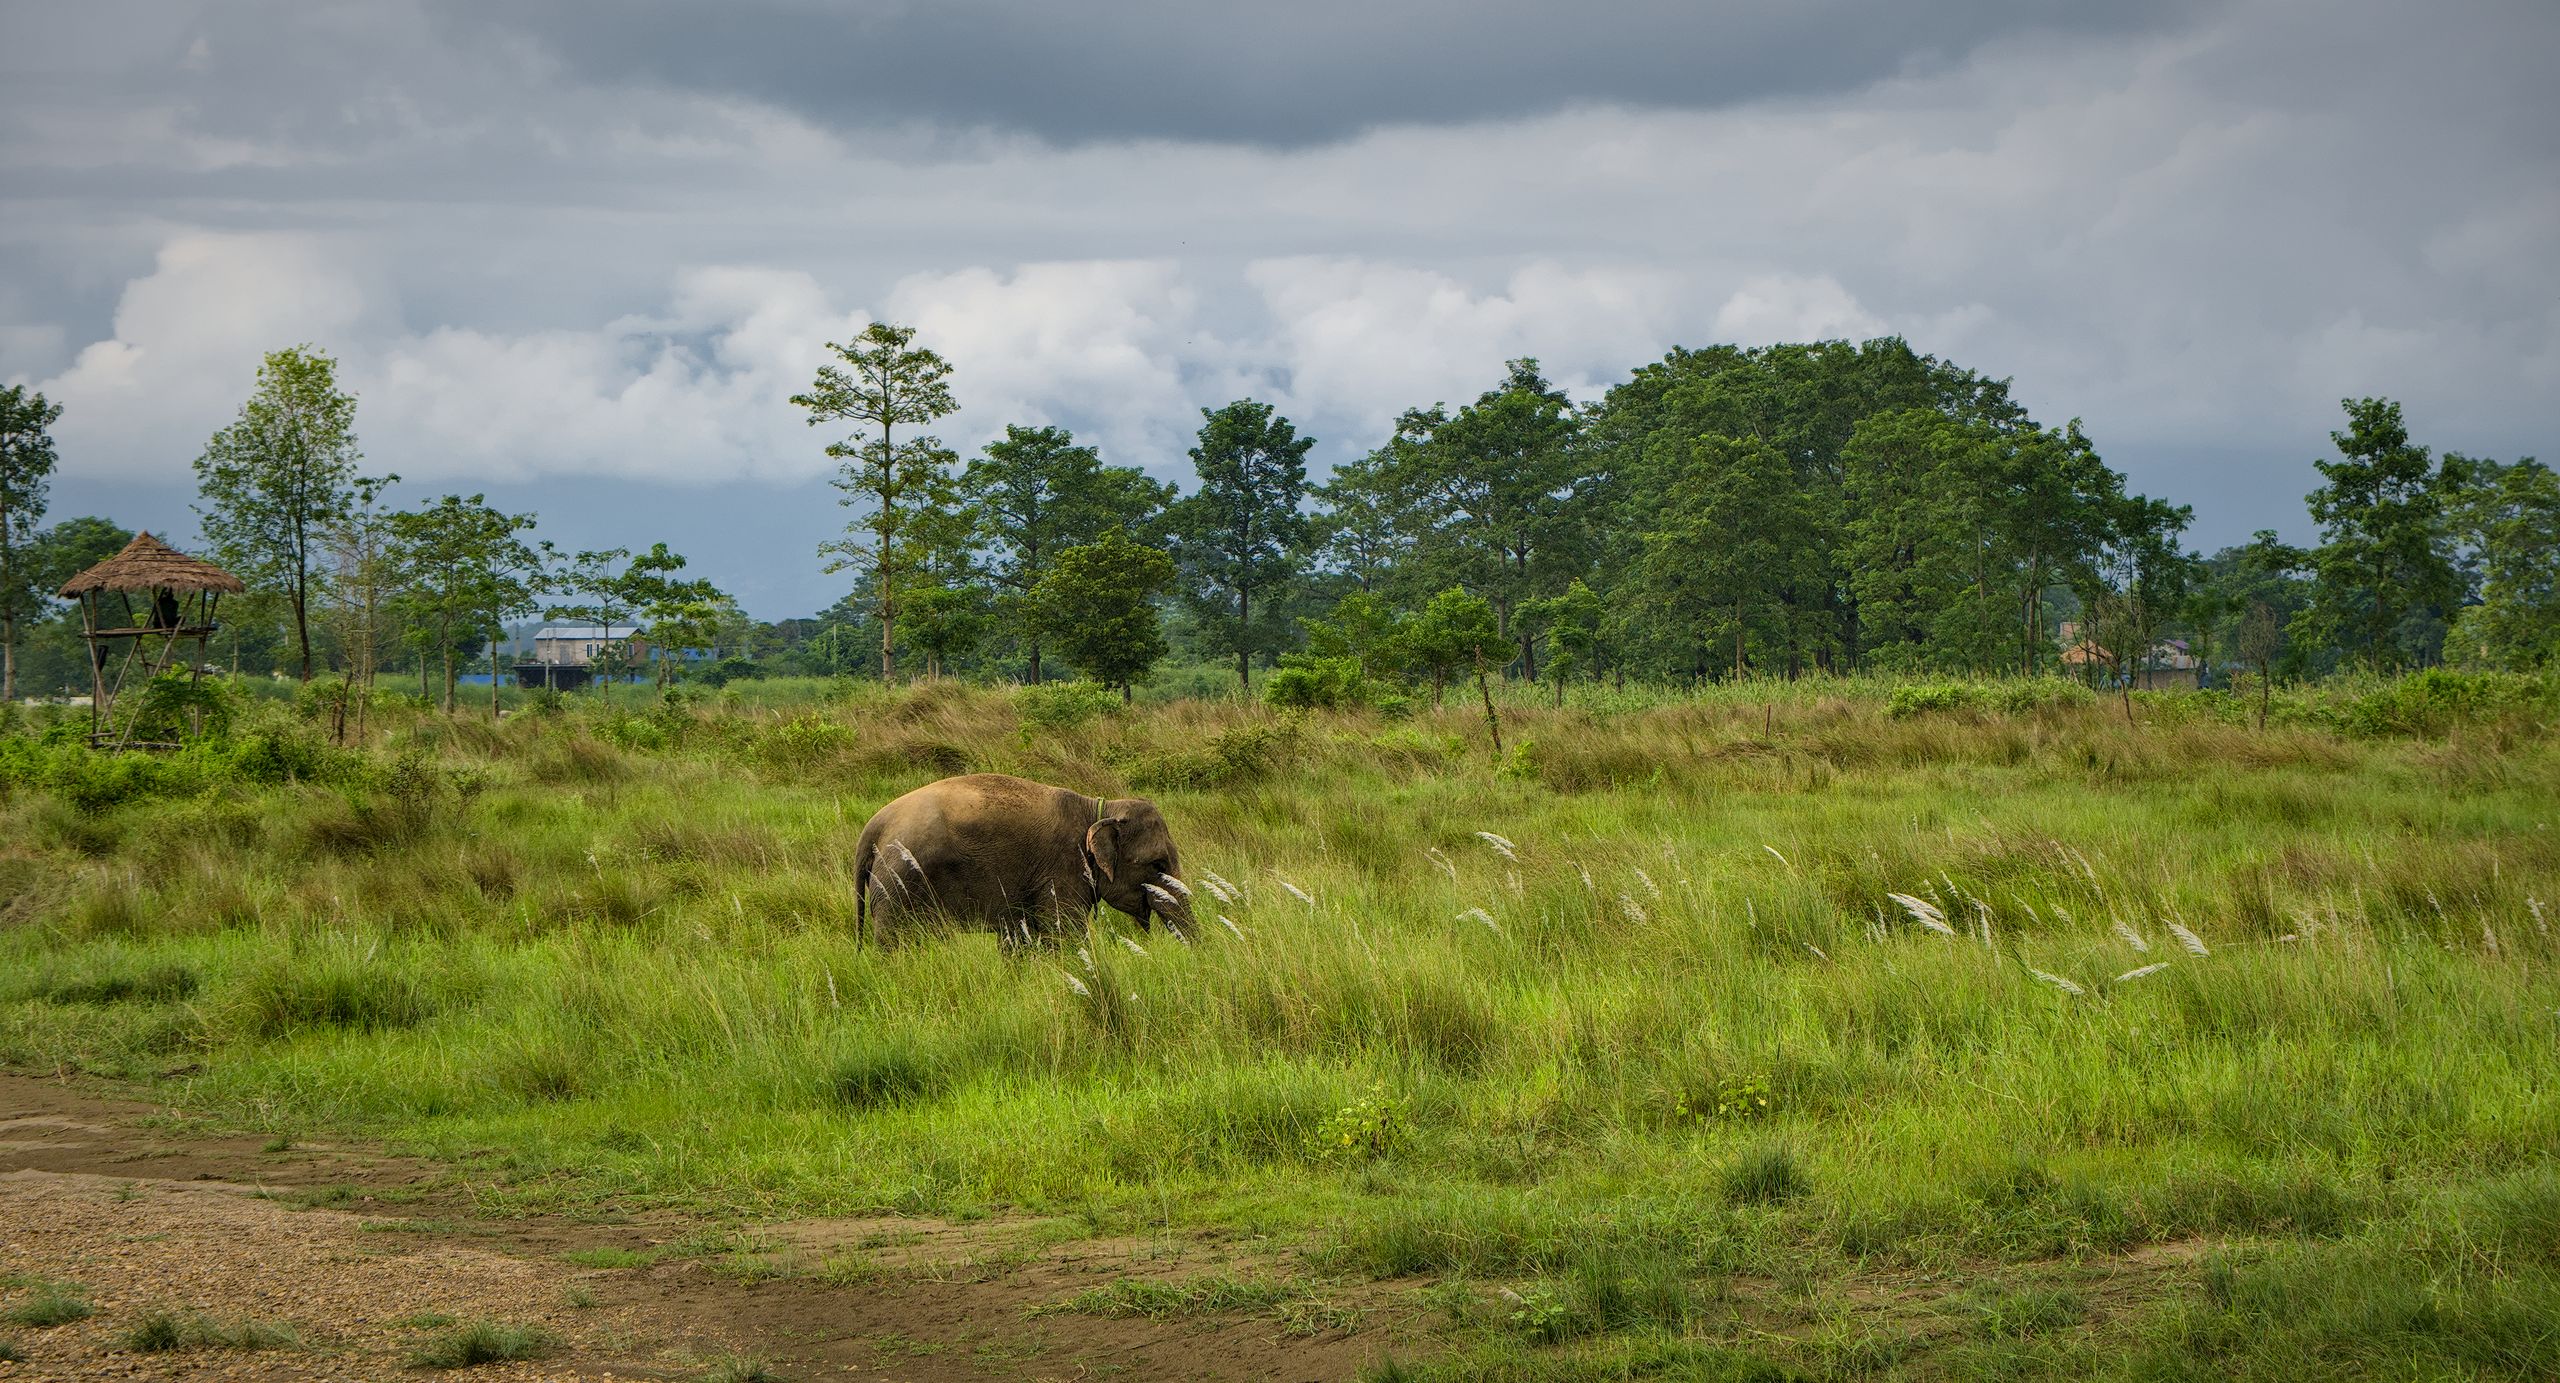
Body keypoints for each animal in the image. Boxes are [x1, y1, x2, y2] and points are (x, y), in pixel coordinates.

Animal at [853, 773, 1194, 945]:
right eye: (1158, 865)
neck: (1099, 807)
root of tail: (872, 828)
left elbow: (1018, 936)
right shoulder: (1062, 868)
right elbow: (1065, 934)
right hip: (898, 884)